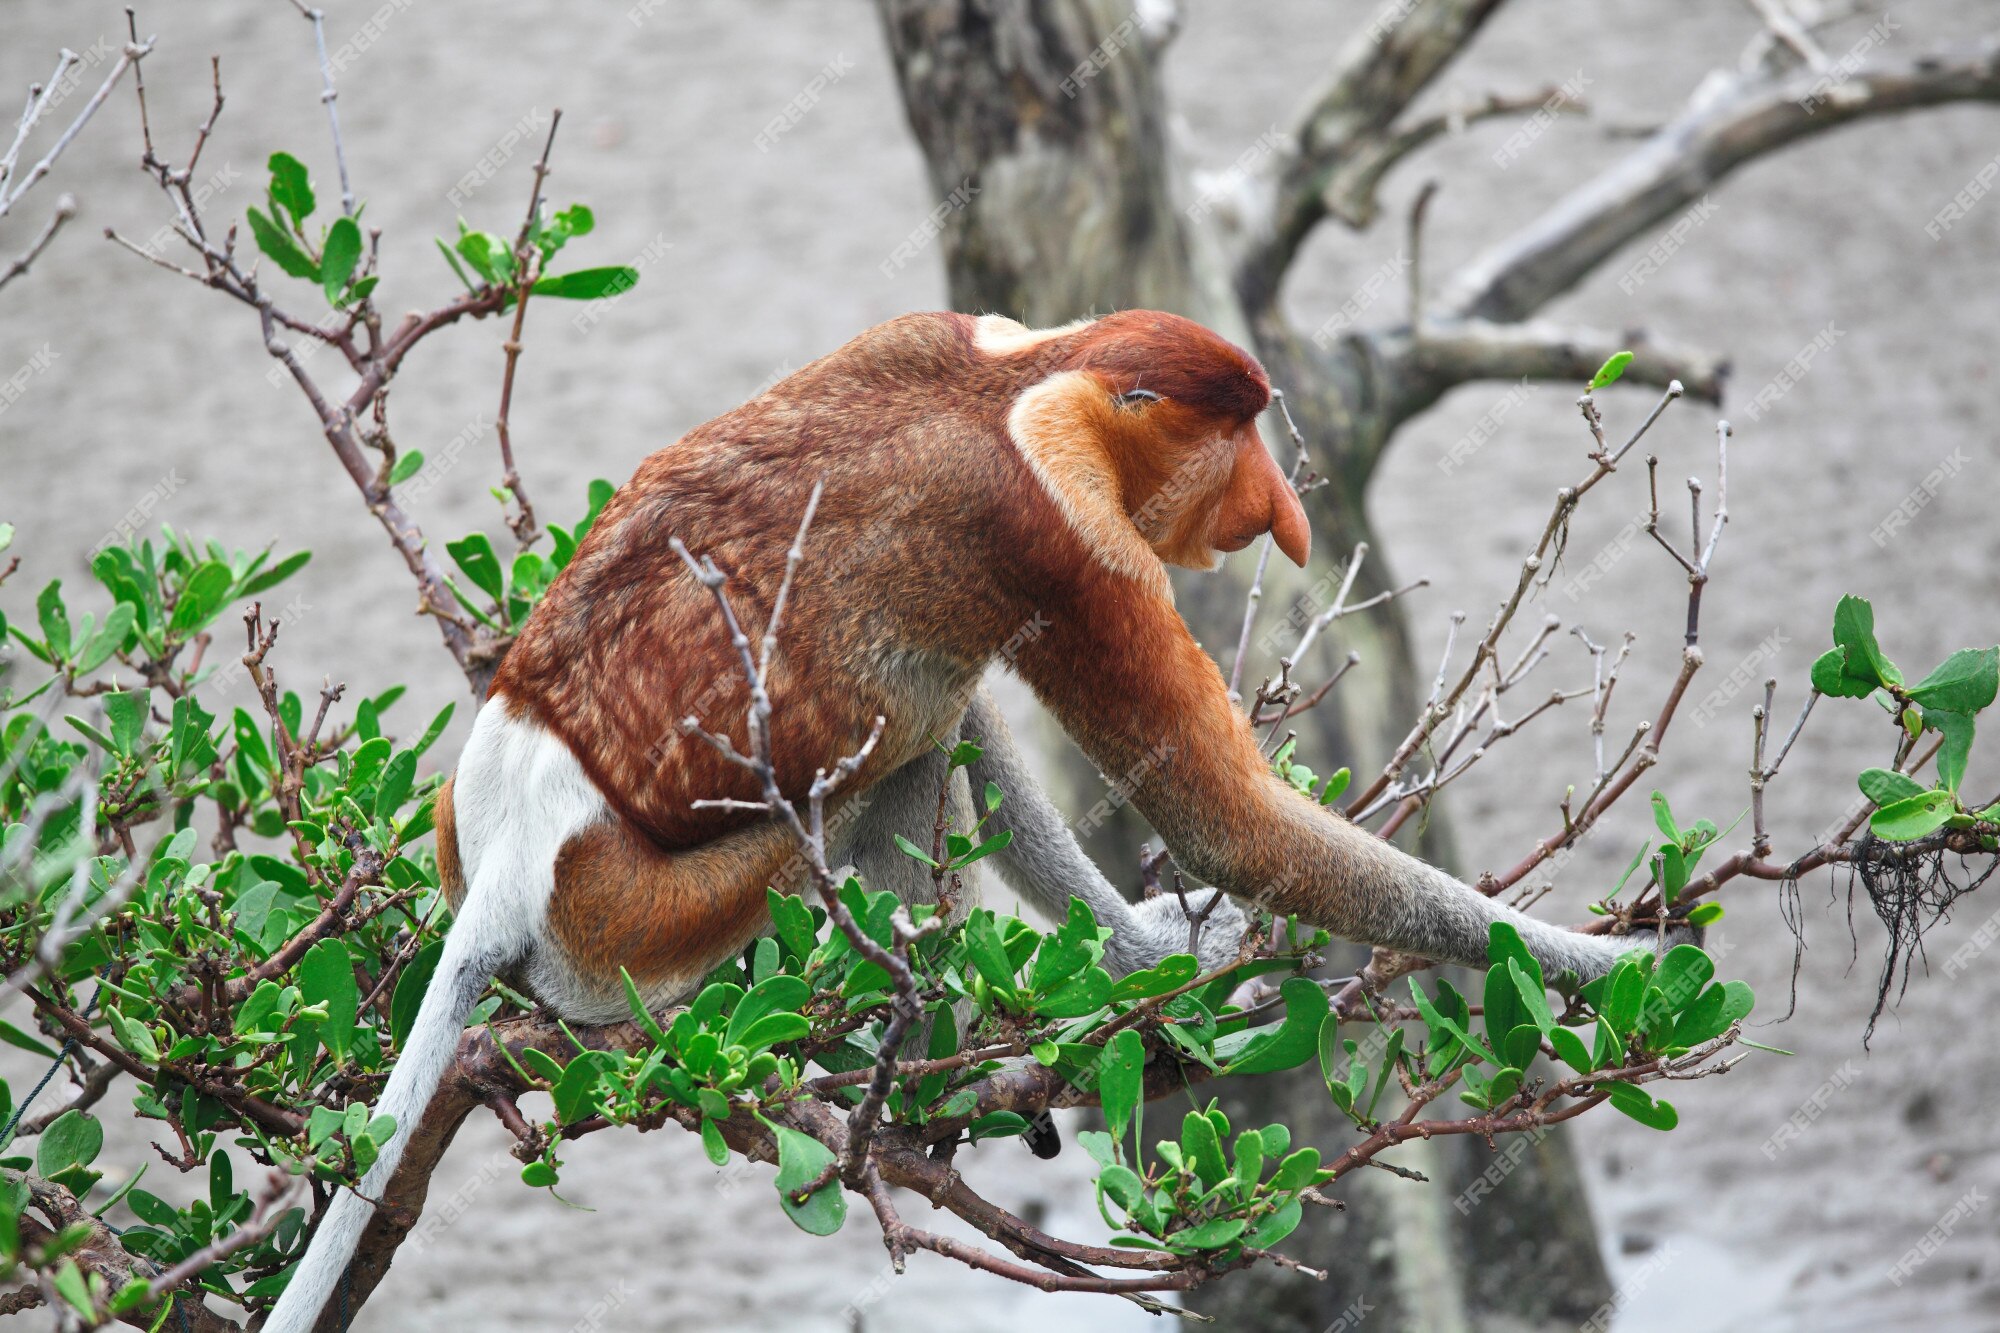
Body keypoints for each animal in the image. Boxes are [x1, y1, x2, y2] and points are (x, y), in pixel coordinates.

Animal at [266, 314, 1672, 1328]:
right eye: (1238, 444)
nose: (1284, 516)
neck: (1027, 379)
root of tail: (516, 839)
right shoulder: (1069, 541)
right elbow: (1228, 825)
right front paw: (1620, 962)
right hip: (638, 926)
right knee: (916, 733)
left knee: (944, 713)